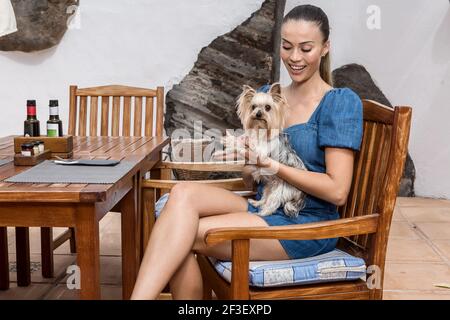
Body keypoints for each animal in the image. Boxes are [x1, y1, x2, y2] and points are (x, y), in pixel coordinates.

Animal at [214, 82, 306, 218]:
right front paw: (222, 151)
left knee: (272, 205)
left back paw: (261, 213)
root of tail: (302, 194)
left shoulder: (258, 151)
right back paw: (256, 203)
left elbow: (243, 146)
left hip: (280, 190)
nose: (258, 113)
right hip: (270, 185)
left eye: (268, 107)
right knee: (265, 198)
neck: (259, 129)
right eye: (253, 107)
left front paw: (230, 141)